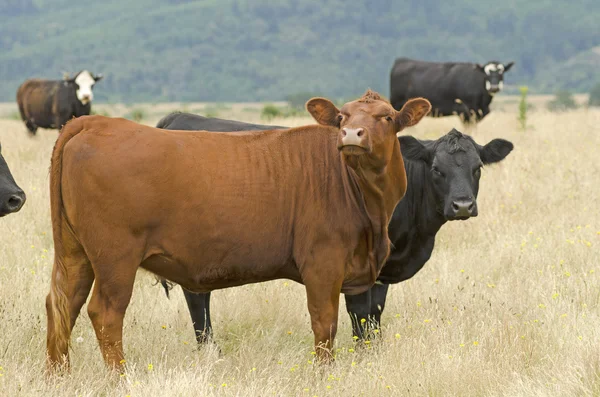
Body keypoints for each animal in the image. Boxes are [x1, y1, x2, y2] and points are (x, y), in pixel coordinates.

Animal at [47, 90, 432, 372]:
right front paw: (325, 375)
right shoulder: (323, 265)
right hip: (116, 258)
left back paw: (58, 376)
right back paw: (121, 379)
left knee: (62, 304)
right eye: (342, 117)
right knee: (105, 312)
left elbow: (363, 324)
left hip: (74, 252)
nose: (351, 135)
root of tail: (93, 123)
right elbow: (326, 325)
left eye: (386, 117)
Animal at [157, 111, 512, 344]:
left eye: (477, 168)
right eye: (437, 169)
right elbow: (361, 319)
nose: (463, 205)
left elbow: (375, 317)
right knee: (198, 303)